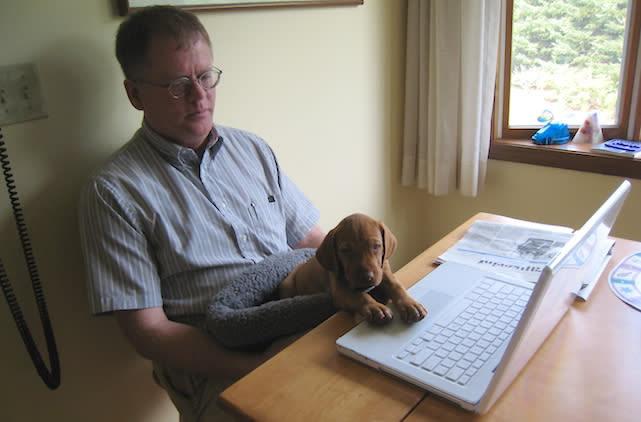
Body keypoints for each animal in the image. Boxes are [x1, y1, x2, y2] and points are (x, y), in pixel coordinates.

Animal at [278, 213, 428, 324]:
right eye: (345, 250)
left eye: (376, 246)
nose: (367, 278)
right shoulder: (340, 291)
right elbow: (360, 296)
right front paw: (375, 307)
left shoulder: (384, 272)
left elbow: (397, 286)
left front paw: (410, 304)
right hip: (287, 285)